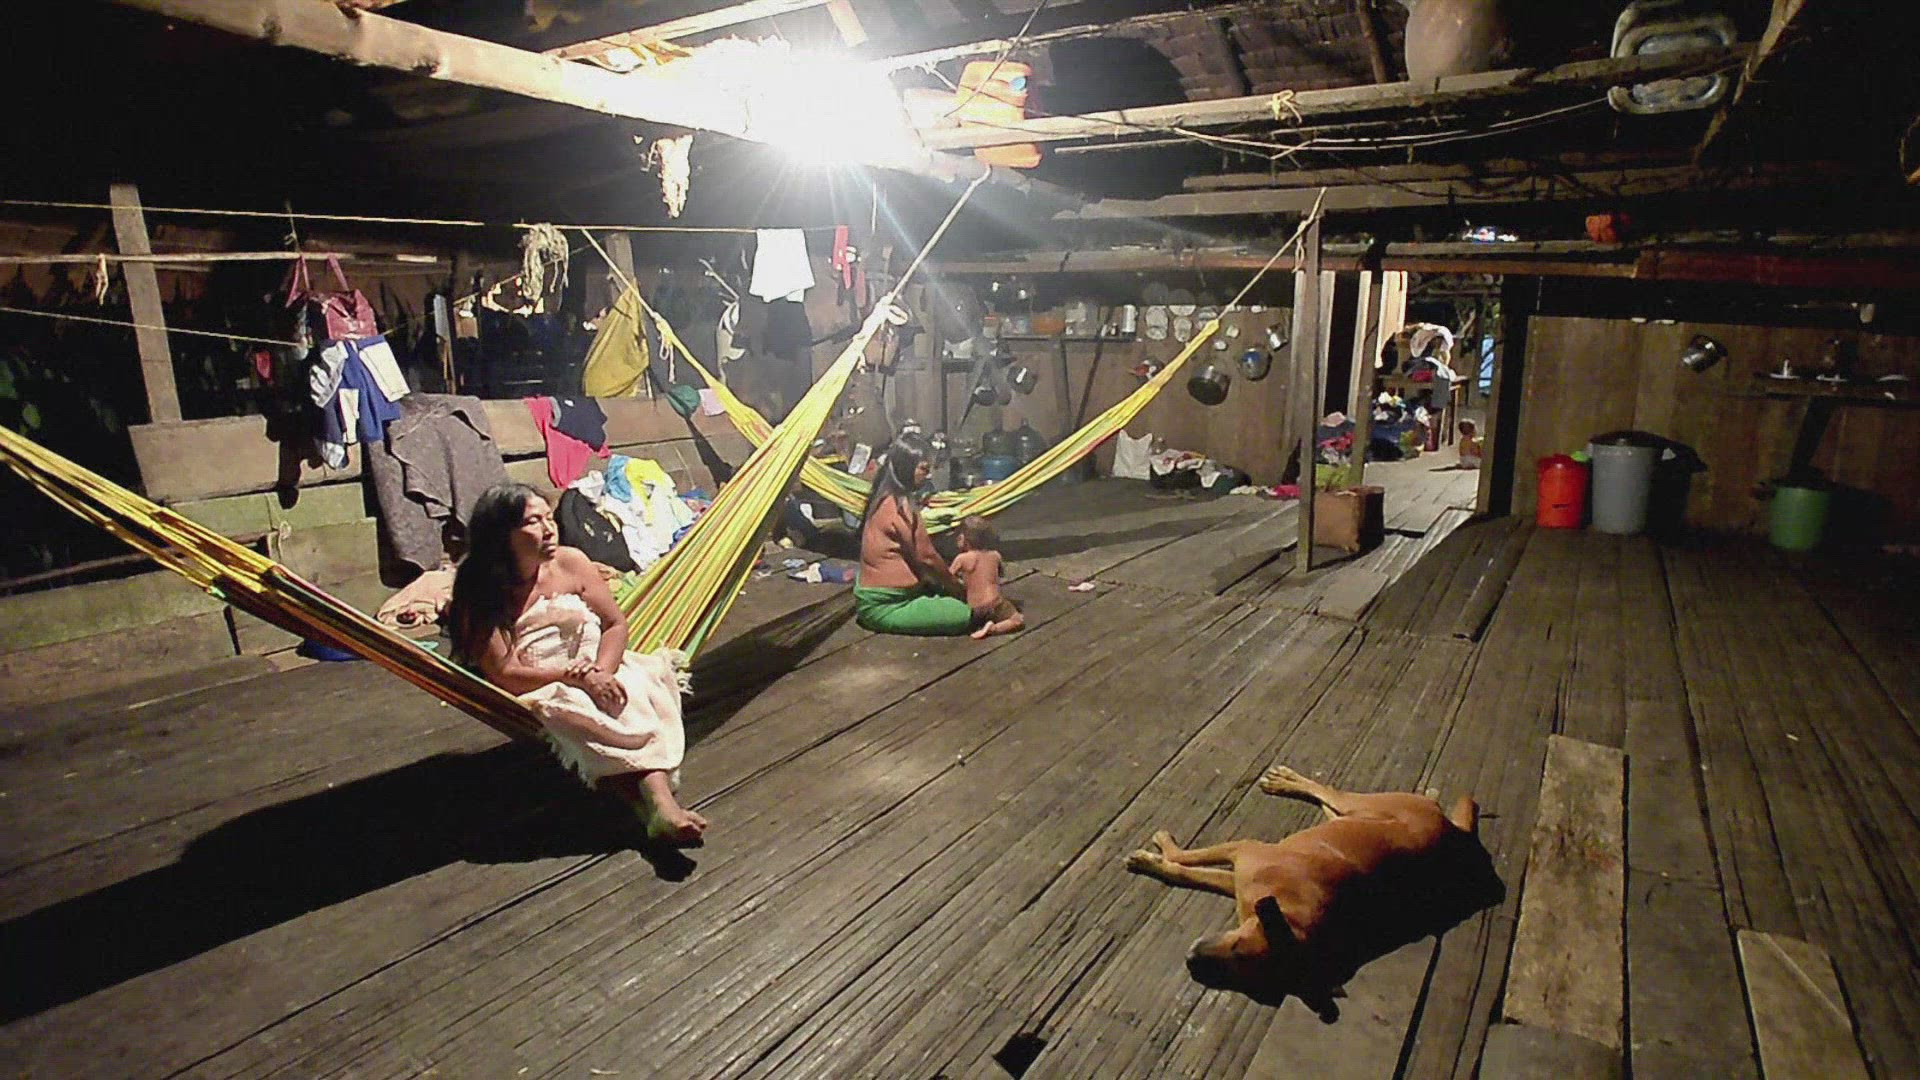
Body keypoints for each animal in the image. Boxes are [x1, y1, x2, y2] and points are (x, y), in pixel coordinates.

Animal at [1125, 765, 1496, 1011]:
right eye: (1236, 946)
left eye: (1244, 980)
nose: (1190, 960)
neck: (1293, 915)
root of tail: (1453, 829)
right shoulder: (1243, 852)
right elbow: (1183, 860)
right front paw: (1159, 849)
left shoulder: (1242, 867)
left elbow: (1183, 868)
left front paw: (1152, 860)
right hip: (1366, 804)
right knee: (1331, 794)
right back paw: (1290, 781)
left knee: (1333, 804)